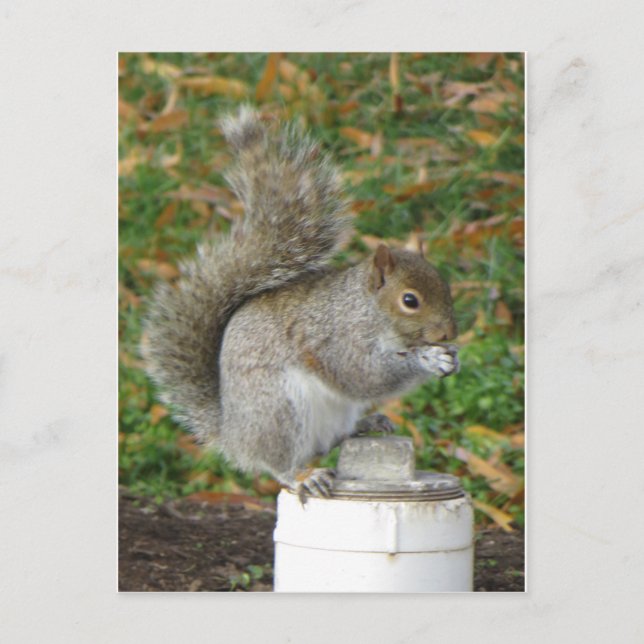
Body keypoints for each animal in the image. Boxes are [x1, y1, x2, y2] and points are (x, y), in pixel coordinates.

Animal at [142, 107, 459, 499]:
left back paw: (367, 423)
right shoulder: (336, 339)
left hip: (332, 414)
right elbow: (363, 375)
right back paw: (302, 476)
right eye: (410, 300)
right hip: (279, 411)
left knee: (331, 441)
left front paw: (448, 356)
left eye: (445, 285)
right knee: (278, 462)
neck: (365, 310)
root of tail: (234, 436)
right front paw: (427, 359)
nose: (448, 333)